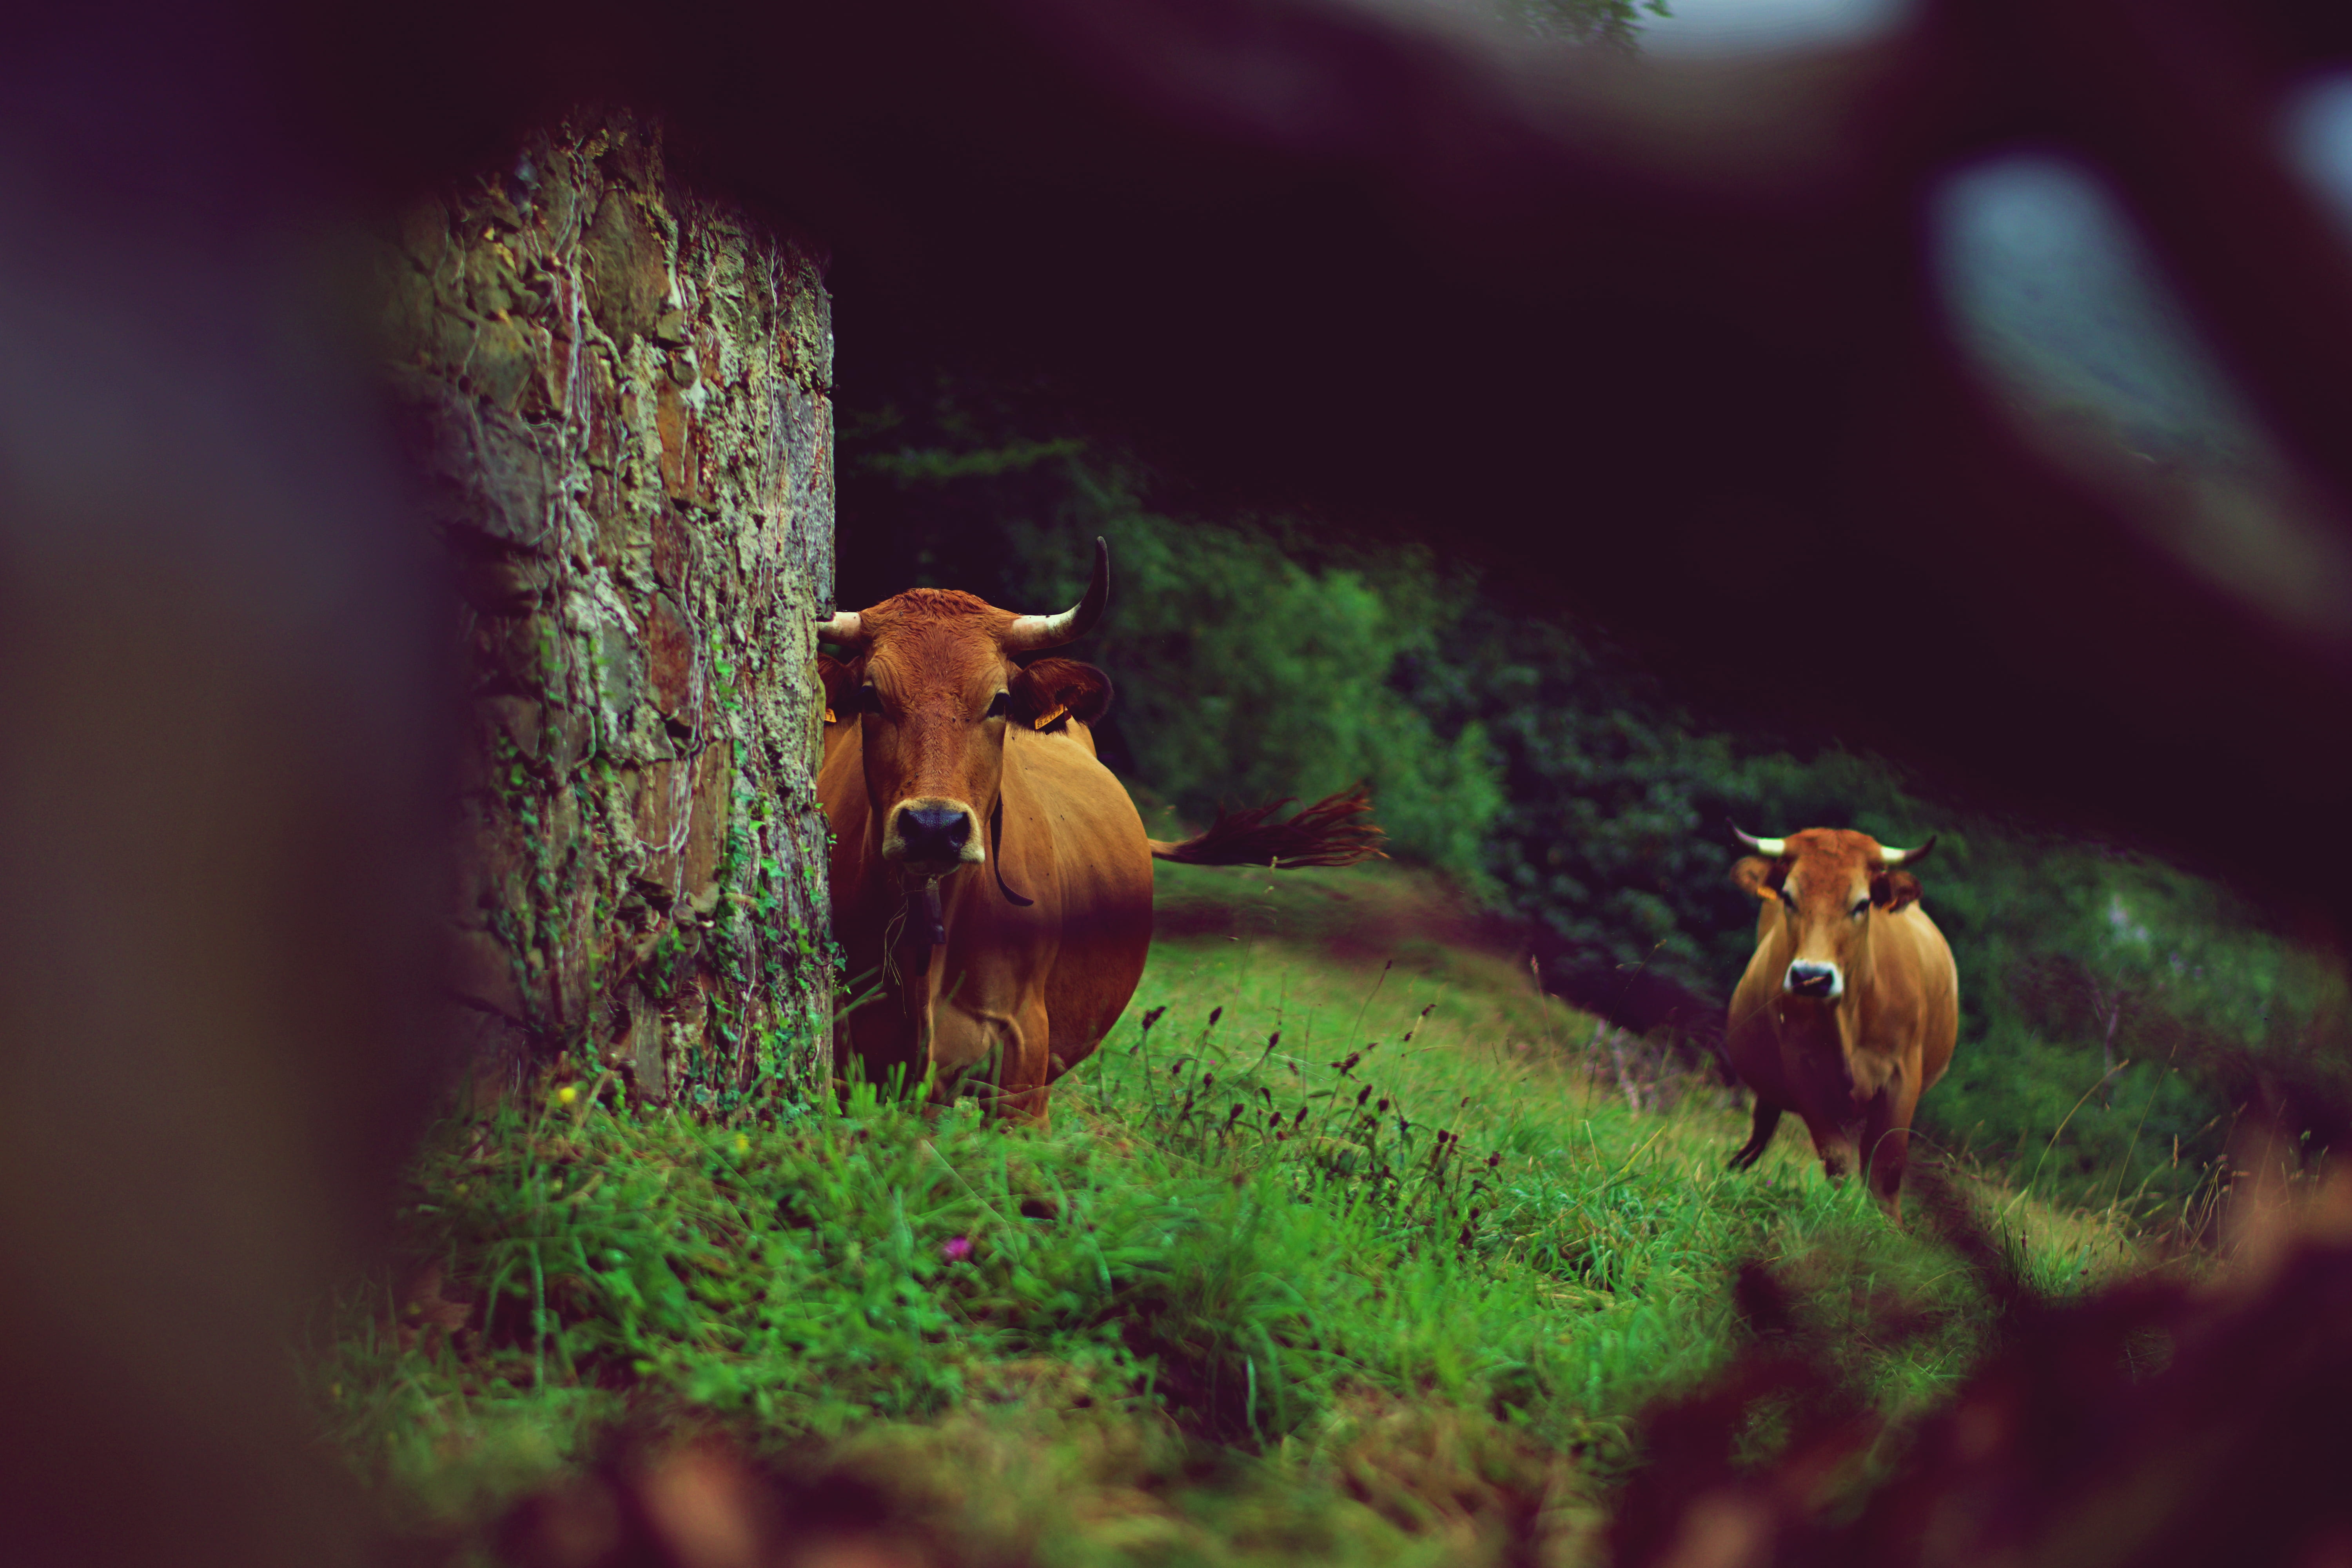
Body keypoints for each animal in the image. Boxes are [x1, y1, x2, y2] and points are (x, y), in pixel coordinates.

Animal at [1723, 827, 1959, 1211]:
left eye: (1862, 904)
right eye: (1788, 897)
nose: (1811, 977)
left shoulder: (1902, 1076)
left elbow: (1886, 1170)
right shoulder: (1804, 1075)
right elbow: (1837, 1162)